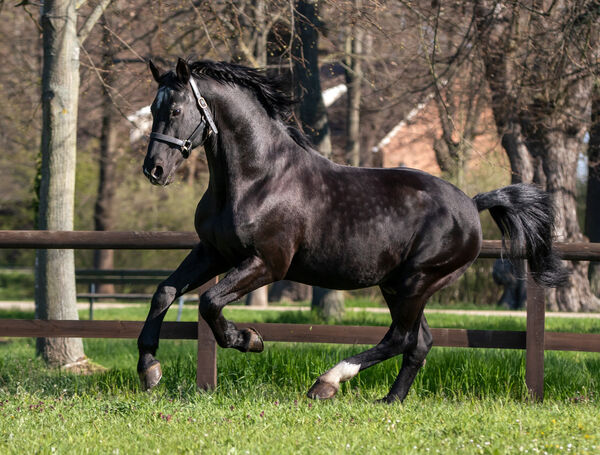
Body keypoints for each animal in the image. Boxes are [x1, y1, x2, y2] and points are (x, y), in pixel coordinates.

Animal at [137, 58, 568, 404]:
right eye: (153, 109)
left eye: (175, 109)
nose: (154, 170)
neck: (259, 178)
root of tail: (472, 204)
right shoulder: (213, 252)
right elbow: (165, 292)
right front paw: (149, 369)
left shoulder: (267, 263)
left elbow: (210, 302)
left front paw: (249, 340)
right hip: (400, 286)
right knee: (419, 342)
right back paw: (390, 400)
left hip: (416, 281)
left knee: (400, 338)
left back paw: (327, 382)